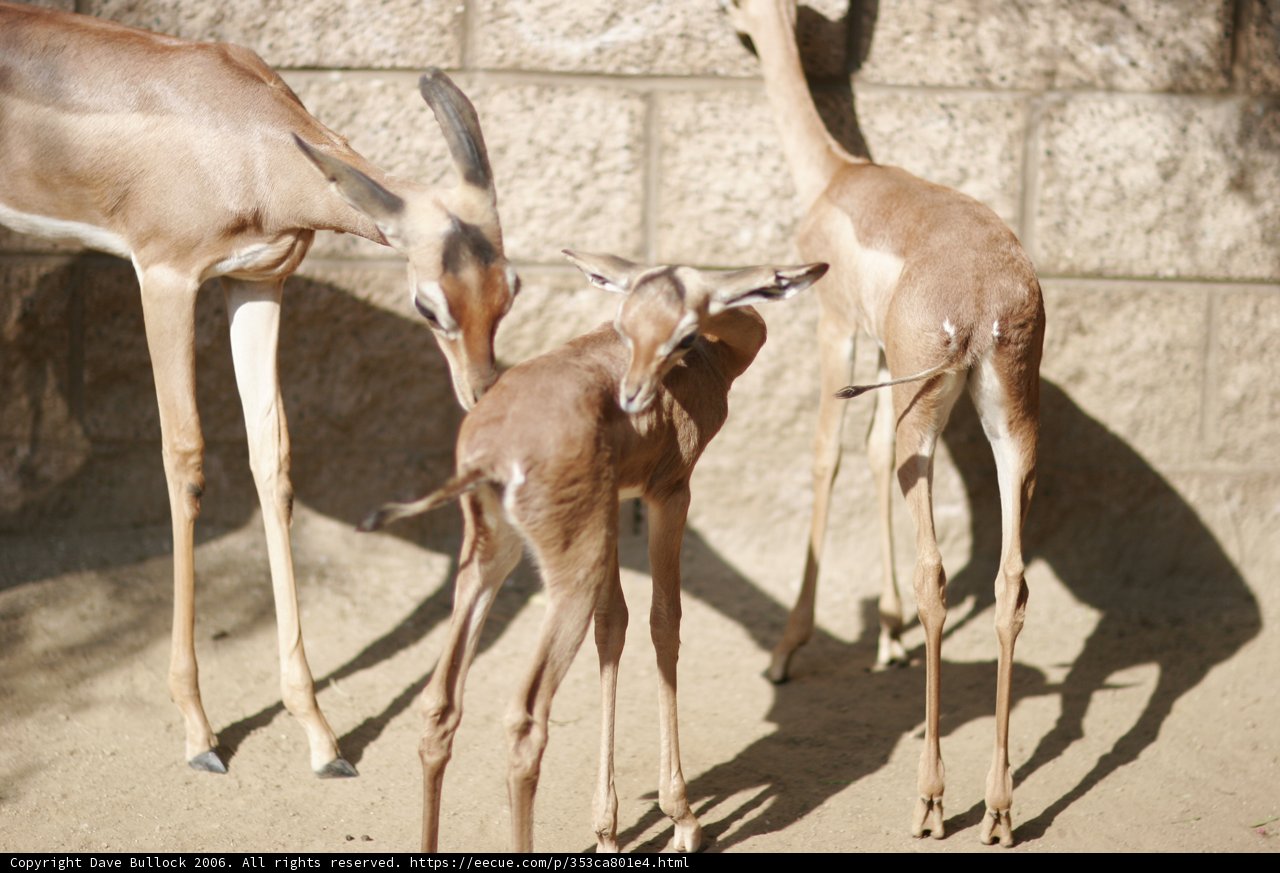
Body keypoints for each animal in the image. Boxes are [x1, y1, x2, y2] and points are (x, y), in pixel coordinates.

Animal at [0, 2, 518, 777]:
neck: (246, 145)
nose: (482, 394)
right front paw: (199, 733)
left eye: (510, 288)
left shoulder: (258, 283)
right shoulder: (165, 277)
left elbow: (272, 463)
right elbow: (184, 459)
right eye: (428, 307)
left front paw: (322, 738)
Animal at [361, 251, 828, 852]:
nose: (632, 395)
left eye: (677, 332)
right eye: (626, 325)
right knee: (525, 719)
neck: (713, 355)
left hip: (492, 556)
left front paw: (608, 830)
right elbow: (664, 621)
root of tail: (492, 456)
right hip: (568, 573)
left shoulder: (612, 508)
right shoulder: (670, 493)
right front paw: (682, 819)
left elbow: (615, 626)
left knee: (439, 703)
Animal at [724, 0, 1046, 847]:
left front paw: (787, 650)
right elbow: (866, 454)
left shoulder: (835, 329)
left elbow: (827, 456)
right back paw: (998, 809)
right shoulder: (880, 361)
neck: (838, 177)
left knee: (941, 573)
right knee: (1010, 581)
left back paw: (932, 802)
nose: (736, 30)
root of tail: (983, 302)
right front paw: (886, 634)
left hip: (926, 421)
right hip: (1009, 430)